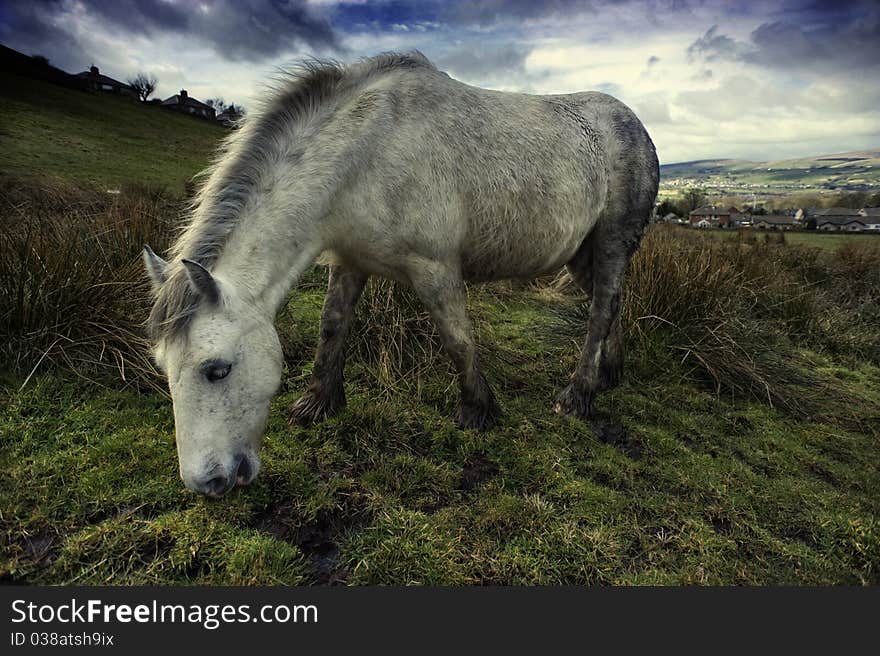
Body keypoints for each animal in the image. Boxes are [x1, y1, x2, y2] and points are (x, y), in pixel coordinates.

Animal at [144, 52, 656, 498]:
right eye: (164, 370)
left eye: (217, 370)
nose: (207, 484)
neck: (369, 150)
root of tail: (636, 125)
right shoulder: (349, 261)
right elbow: (332, 327)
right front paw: (317, 404)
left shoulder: (435, 268)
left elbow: (458, 339)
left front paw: (478, 411)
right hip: (582, 254)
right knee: (609, 304)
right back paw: (610, 373)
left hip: (611, 243)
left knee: (602, 308)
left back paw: (578, 395)